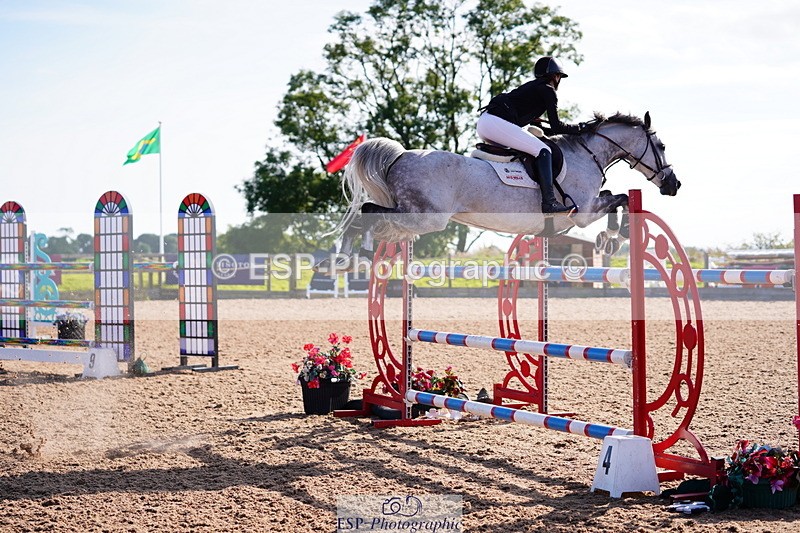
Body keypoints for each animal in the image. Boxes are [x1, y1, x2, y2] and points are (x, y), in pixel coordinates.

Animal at [327, 111, 680, 268]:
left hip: (414, 217)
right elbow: (620, 199)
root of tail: (400, 156)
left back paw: (348, 258)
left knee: (369, 217)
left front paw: (610, 238)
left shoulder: (589, 207)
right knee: (366, 213)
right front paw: (615, 237)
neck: (586, 154)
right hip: (426, 219)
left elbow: (615, 198)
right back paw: (352, 257)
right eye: (662, 146)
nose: (674, 185)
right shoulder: (581, 213)